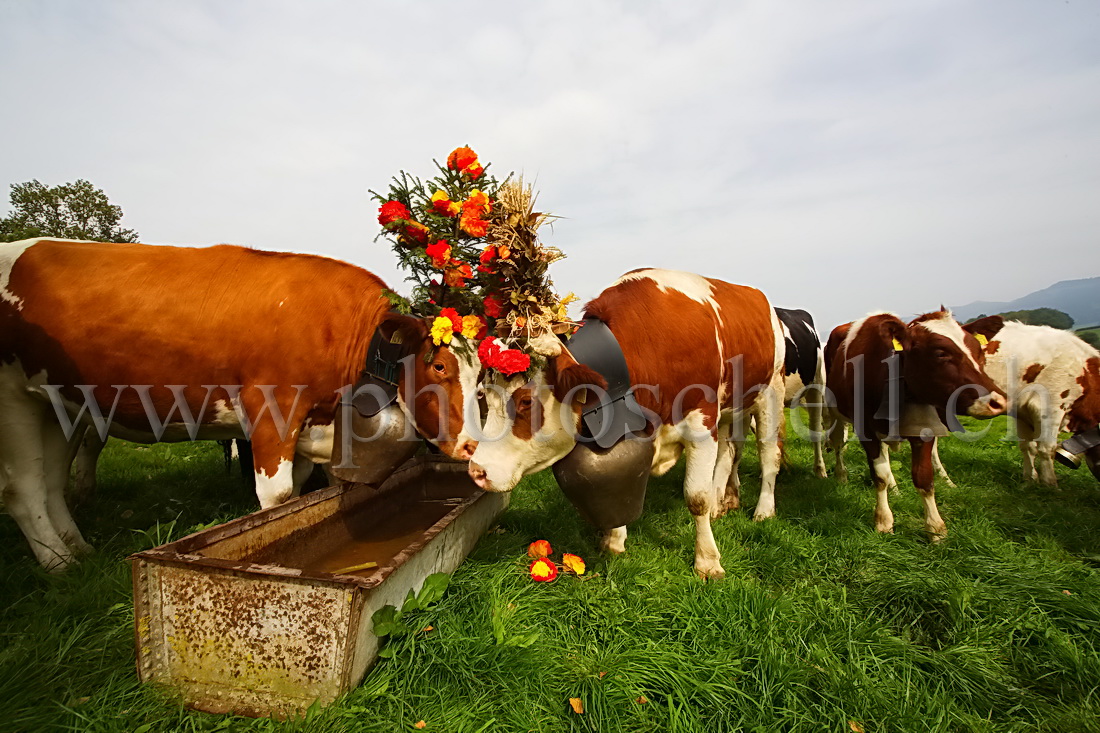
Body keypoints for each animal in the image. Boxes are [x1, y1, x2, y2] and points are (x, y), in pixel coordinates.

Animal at [1, 236, 481, 567]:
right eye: (440, 367)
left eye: (480, 376)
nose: (472, 445)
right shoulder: (273, 410)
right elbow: (279, 495)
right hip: (14, 401)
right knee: (24, 488)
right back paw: (58, 562)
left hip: (57, 404)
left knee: (51, 482)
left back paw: (78, 547)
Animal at [468, 267, 787, 576]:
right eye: (484, 394)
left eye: (525, 401)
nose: (476, 471)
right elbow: (618, 478)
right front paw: (615, 540)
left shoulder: (702, 421)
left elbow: (697, 497)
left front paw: (707, 561)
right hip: (732, 408)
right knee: (728, 454)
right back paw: (724, 500)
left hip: (771, 392)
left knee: (768, 456)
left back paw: (763, 509)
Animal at [827, 308, 1007, 537]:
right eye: (941, 353)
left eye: (979, 352)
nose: (997, 402)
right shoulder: (865, 429)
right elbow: (879, 476)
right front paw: (884, 521)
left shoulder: (924, 428)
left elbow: (924, 477)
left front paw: (935, 528)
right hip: (835, 411)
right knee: (838, 444)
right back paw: (841, 475)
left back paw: (895, 487)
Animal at [950, 314, 1095, 482]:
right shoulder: (1050, 406)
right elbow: (1047, 449)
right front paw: (1050, 483)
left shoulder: (1023, 409)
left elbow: (1028, 446)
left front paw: (1030, 479)